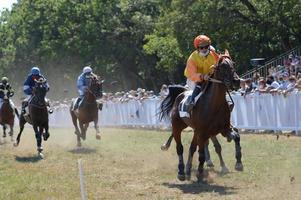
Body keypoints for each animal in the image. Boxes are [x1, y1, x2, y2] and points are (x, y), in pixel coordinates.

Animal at [158, 50, 240, 182]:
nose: (237, 81)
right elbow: (202, 152)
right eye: (223, 66)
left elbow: (234, 137)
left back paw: (188, 169)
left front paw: (237, 163)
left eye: (233, 63)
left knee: (192, 147)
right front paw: (201, 172)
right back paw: (181, 170)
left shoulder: (223, 128)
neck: (214, 104)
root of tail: (181, 93)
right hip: (178, 126)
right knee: (180, 147)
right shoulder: (203, 131)